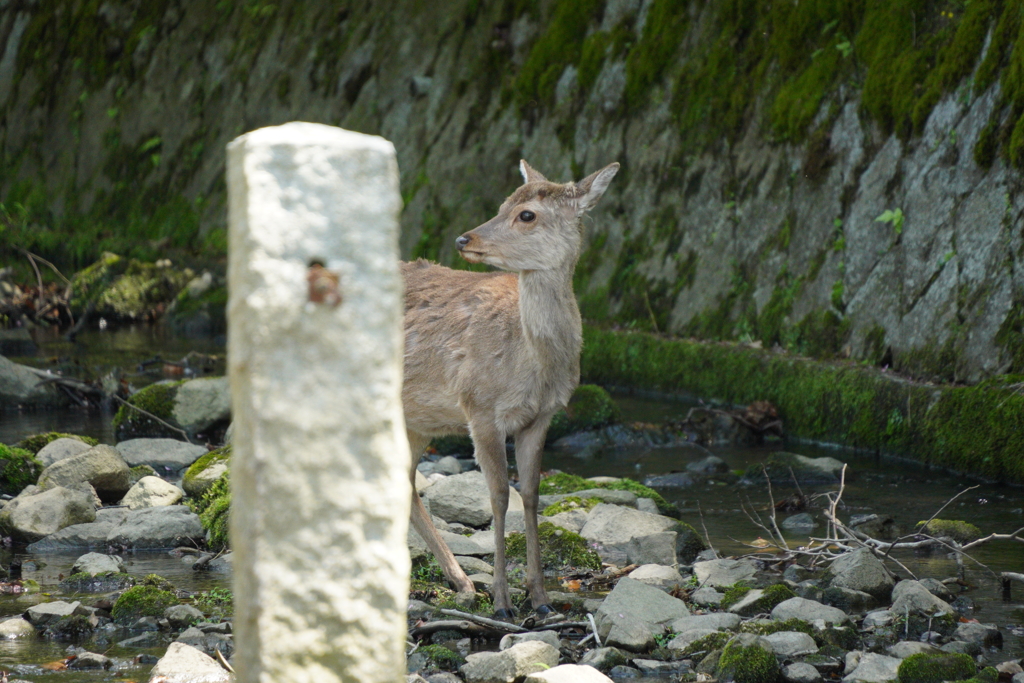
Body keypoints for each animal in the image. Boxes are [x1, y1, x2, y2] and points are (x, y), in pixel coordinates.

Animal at [403, 160, 618, 618]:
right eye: (503, 204)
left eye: (526, 214)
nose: (464, 238)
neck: (531, 364)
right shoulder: (479, 408)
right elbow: (499, 496)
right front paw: (502, 601)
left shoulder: (542, 416)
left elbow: (532, 495)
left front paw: (540, 599)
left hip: (416, 420)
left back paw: (461, 581)